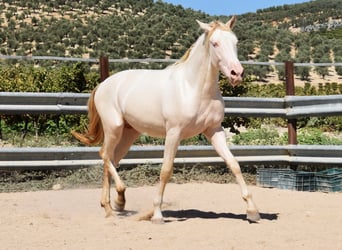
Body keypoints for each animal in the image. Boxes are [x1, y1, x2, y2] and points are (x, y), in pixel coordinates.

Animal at [72, 15, 260, 223]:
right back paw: (117, 200)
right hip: (114, 127)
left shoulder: (214, 130)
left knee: (111, 159)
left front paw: (252, 211)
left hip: (129, 133)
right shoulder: (174, 133)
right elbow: (166, 170)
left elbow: (234, 164)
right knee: (105, 155)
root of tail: (102, 85)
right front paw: (157, 214)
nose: (237, 74)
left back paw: (112, 206)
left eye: (236, 42)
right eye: (215, 43)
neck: (193, 88)